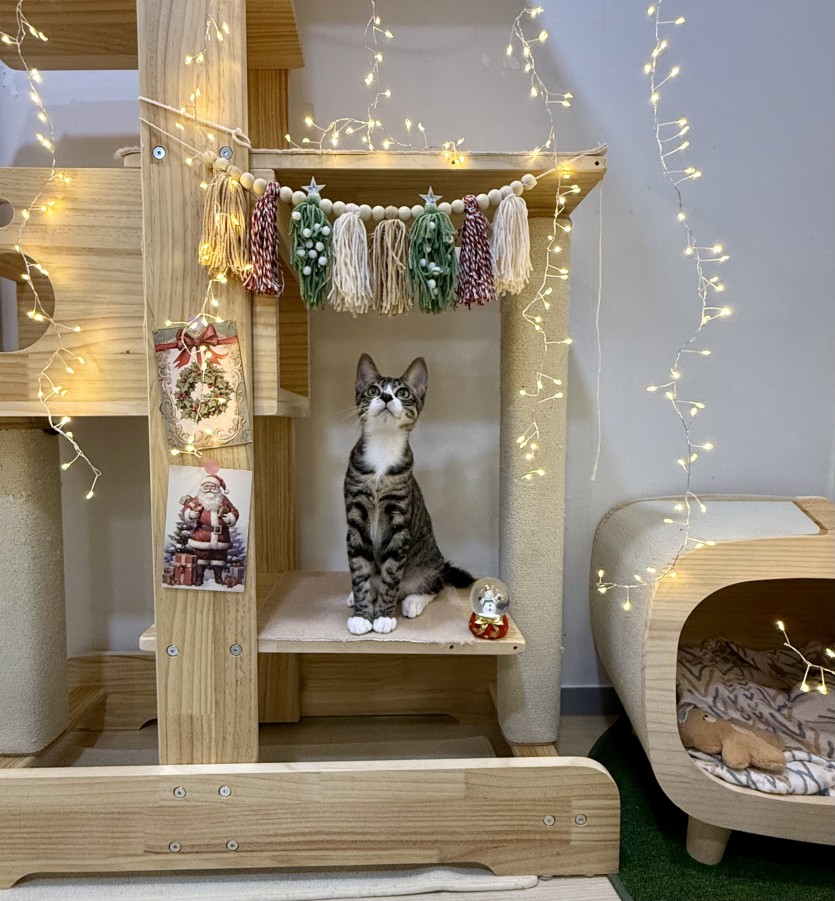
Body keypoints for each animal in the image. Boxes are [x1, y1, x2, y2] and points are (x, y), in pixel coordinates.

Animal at [343, 353, 473, 635]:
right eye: (373, 390)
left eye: (402, 392)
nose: (386, 397)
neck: (382, 452)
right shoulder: (355, 517)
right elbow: (359, 571)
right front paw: (361, 614)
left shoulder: (400, 522)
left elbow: (392, 575)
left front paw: (383, 616)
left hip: (428, 563)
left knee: (433, 585)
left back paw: (412, 601)